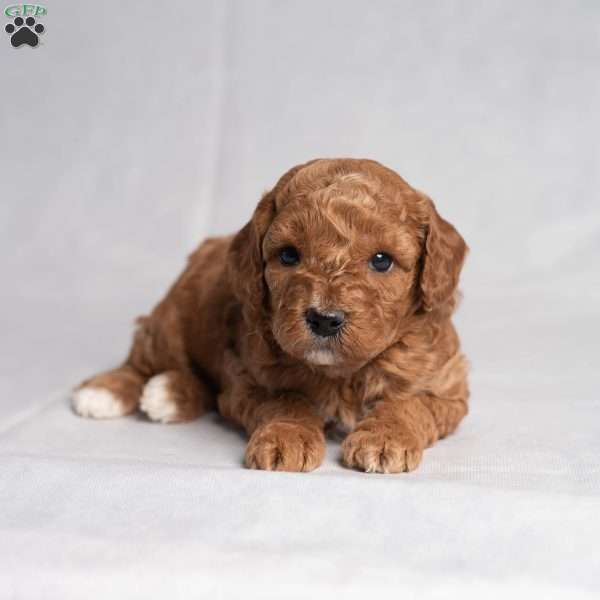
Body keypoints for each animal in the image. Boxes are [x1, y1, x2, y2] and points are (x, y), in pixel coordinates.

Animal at [72, 158, 468, 474]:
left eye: (382, 260)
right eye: (289, 255)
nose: (324, 319)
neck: (342, 373)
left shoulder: (448, 389)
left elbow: (410, 404)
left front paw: (385, 439)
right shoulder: (248, 376)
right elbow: (286, 400)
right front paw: (286, 438)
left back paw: (168, 394)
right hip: (172, 321)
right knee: (143, 358)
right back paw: (103, 392)